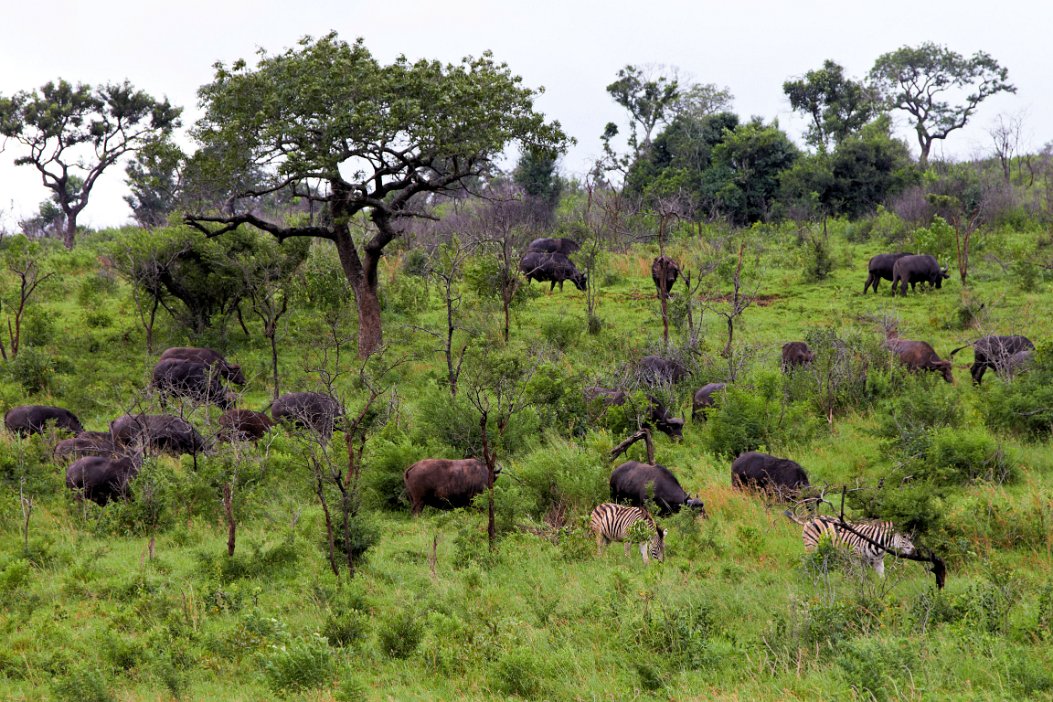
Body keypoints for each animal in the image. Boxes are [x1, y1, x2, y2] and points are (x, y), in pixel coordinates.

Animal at [787, 513, 918, 580]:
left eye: (911, 538)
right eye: (904, 539)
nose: (914, 551)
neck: (879, 544)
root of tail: (811, 519)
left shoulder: (878, 561)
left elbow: (881, 578)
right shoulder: (856, 557)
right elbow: (861, 577)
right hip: (811, 546)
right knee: (808, 561)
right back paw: (810, 576)